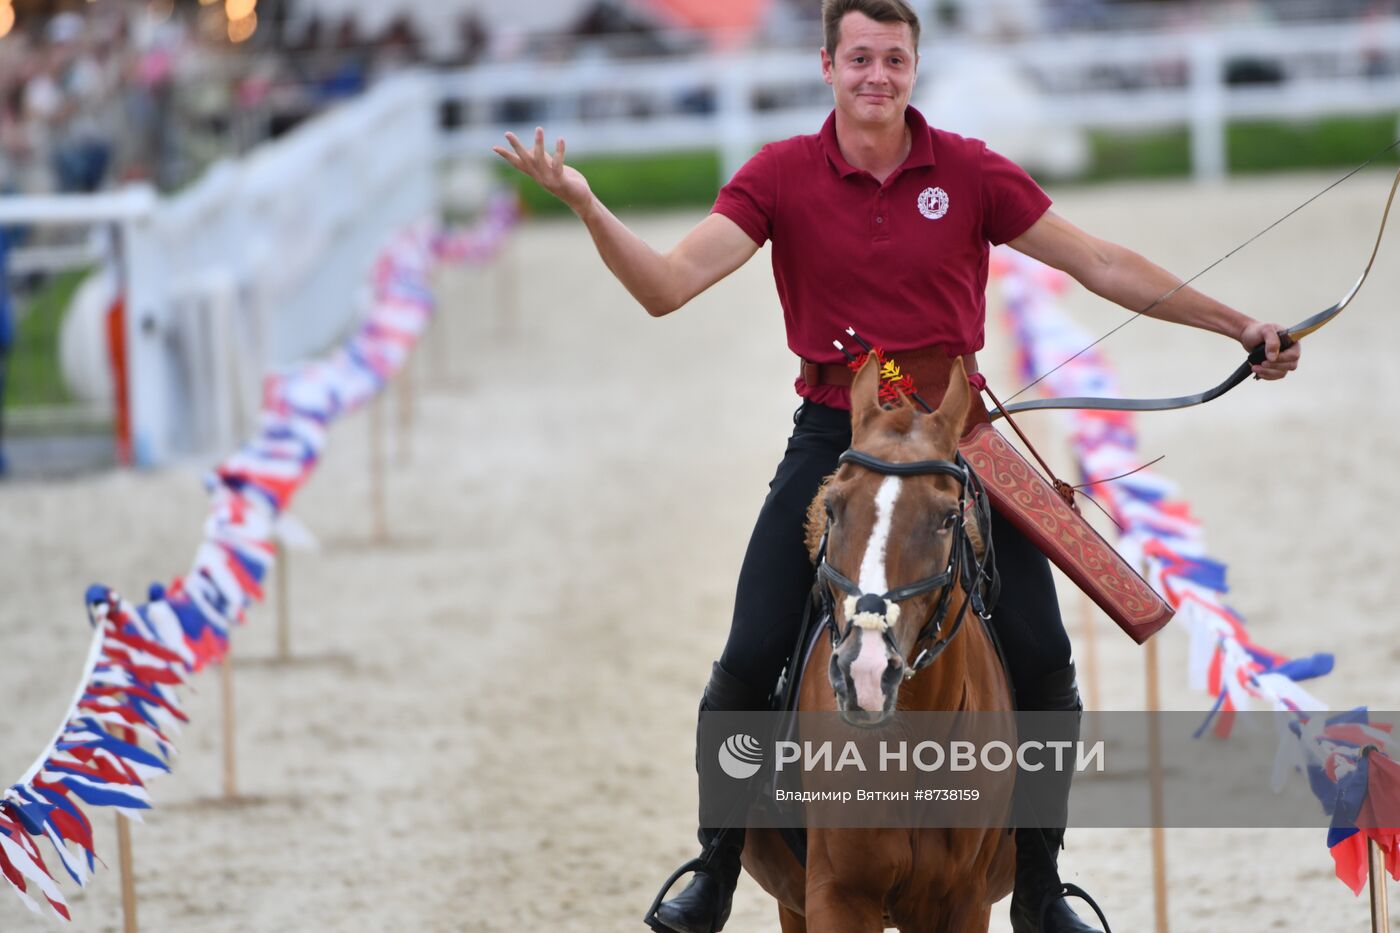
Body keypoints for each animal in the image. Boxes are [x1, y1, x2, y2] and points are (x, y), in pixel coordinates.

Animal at [744, 350, 1019, 930]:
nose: (865, 674)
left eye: (948, 517)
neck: (913, 746)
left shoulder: (965, 901)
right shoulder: (837, 893)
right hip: (791, 900)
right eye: (831, 507)